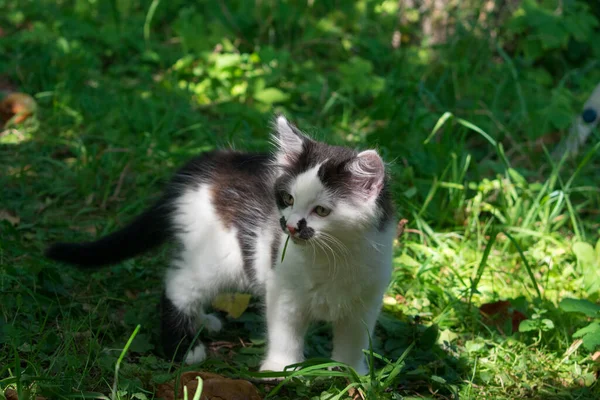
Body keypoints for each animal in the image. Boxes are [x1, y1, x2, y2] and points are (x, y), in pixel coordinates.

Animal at [45, 115, 394, 376]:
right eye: (287, 199)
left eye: (321, 211)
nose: (290, 225)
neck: (333, 257)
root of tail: (206, 162)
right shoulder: (283, 288)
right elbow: (285, 332)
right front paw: (280, 369)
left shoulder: (366, 300)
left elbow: (354, 339)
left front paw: (351, 373)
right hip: (222, 255)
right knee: (178, 285)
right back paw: (183, 349)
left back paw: (202, 321)